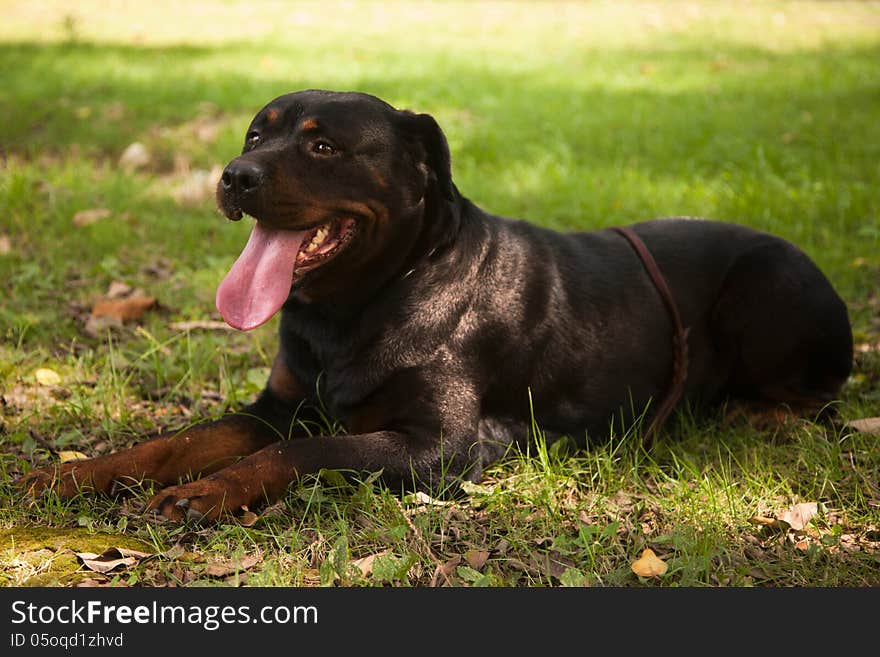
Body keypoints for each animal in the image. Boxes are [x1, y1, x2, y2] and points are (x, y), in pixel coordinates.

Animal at [22, 89, 852, 520]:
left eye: (321, 146)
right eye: (256, 134)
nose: (234, 174)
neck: (359, 304)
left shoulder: (443, 444)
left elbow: (303, 450)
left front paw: (208, 491)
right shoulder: (279, 404)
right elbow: (179, 439)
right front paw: (79, 472)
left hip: (768, 283)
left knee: (818, 398)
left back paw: (757, 413)